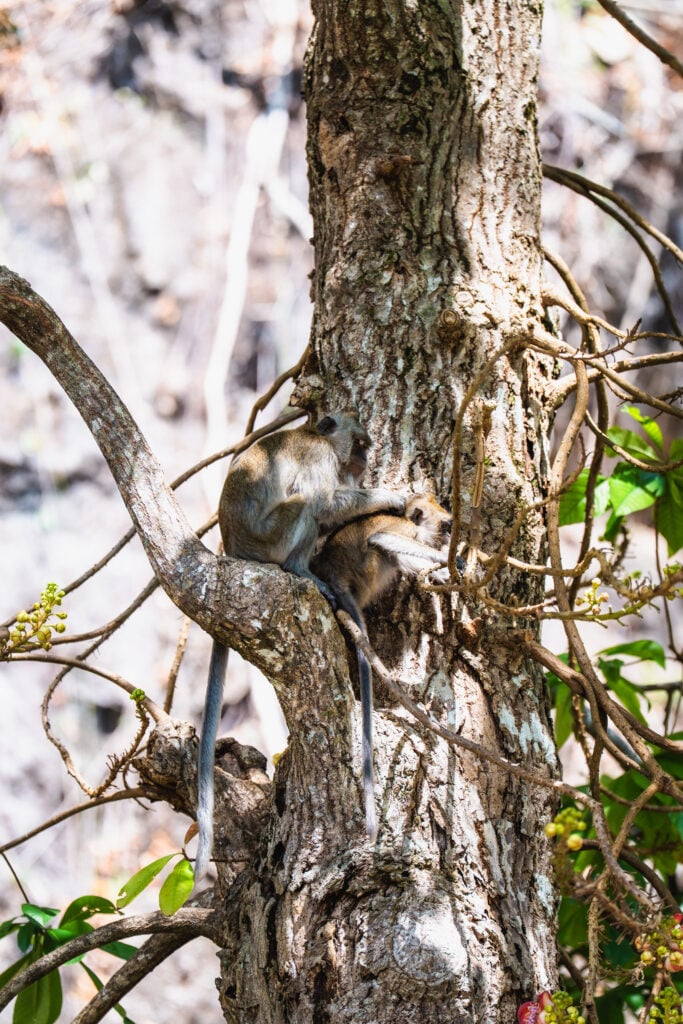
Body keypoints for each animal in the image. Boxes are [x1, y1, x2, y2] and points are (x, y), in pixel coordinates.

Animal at [195, 411, 406, 881]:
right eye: (359, 443)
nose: (364, 461)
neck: (315, 435)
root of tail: (235, 551)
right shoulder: (321, 461)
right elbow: (326, 503)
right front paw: (390, 496)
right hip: (272, 538)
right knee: (307, 505)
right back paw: (302, 571)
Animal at [310, 492, 452, 840]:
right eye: (445, 527)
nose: (449, 537)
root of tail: (334, 573)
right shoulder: (404, 532)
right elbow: (383, 539)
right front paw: (446, 562)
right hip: (366, 570)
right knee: (387, 552)